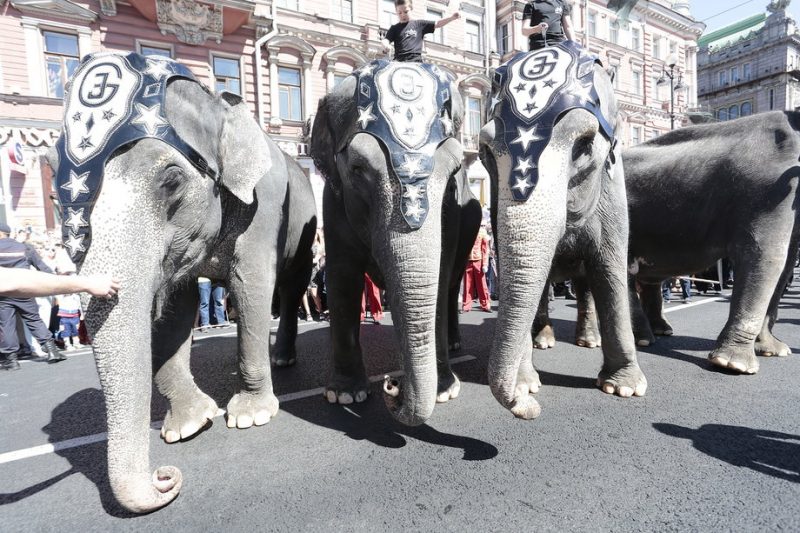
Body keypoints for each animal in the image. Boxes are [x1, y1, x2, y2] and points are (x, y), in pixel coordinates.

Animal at [46, 53, 316, 512]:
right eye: (55, 187)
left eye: (171, 179)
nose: (165, 476)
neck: (217, 104)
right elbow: (174, 306)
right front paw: (187, 427)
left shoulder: (262, 209)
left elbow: (251, 287)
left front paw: (250, 416)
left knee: (291, 285)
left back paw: (281, 358)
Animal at [310, 59, 478, 424]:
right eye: (357, 168)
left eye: (454, 171)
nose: (392, 383)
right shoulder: (334, 201)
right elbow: (341, 278)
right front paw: (345, 395)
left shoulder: (451, 214)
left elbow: (440, 276)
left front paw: (445, 391)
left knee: (453, 281)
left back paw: (455, 345)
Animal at [478, 42, 648, 420]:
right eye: (485, 152)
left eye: (583, 145)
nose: (527, 409)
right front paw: (528, 384)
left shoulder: (613, 191)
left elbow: (609, 269)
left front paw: (624, 388)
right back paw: (543, 340)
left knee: (585, 286)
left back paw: (588, 340)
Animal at [536, 109, 800, 374]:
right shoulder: (766, 191)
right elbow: (765, 256)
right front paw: (733, 365)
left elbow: (786, 264)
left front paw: (775, 350)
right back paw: (643, 339)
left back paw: (654, 332)